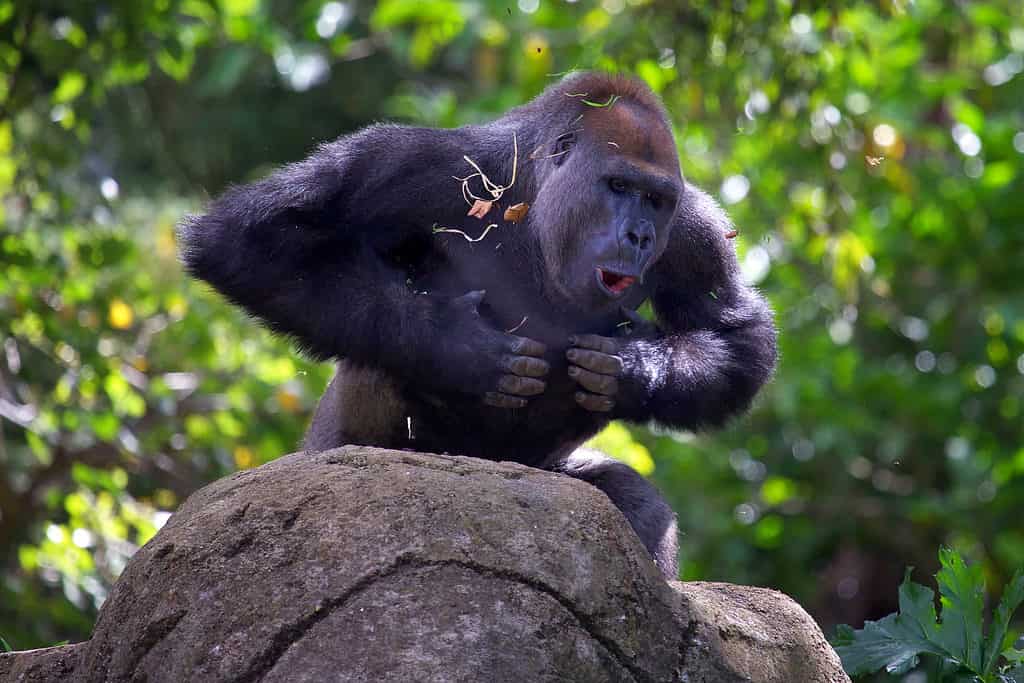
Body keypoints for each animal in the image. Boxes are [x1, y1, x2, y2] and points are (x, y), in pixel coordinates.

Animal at [182, 72, 774, 581]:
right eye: (618, 185)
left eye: (655, 199)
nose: (641, 236)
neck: (537, 204)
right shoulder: (412, 162)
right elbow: (251, 239)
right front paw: (461, 350)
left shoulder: (694, 226)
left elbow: (738, 335)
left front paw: (631, 369)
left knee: (630, 502)